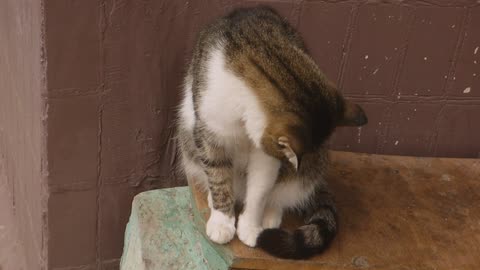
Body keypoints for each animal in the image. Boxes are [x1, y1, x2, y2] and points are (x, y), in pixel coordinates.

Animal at [176, 6, 368, 260]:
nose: (294, 164)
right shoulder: (211, 131)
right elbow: (218, 176)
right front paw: (222, 221)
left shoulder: (267, 154)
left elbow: (260, 189)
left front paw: (250, 227)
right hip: (187, 137)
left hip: (313, 165)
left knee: (284, 193)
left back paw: (271, 215)